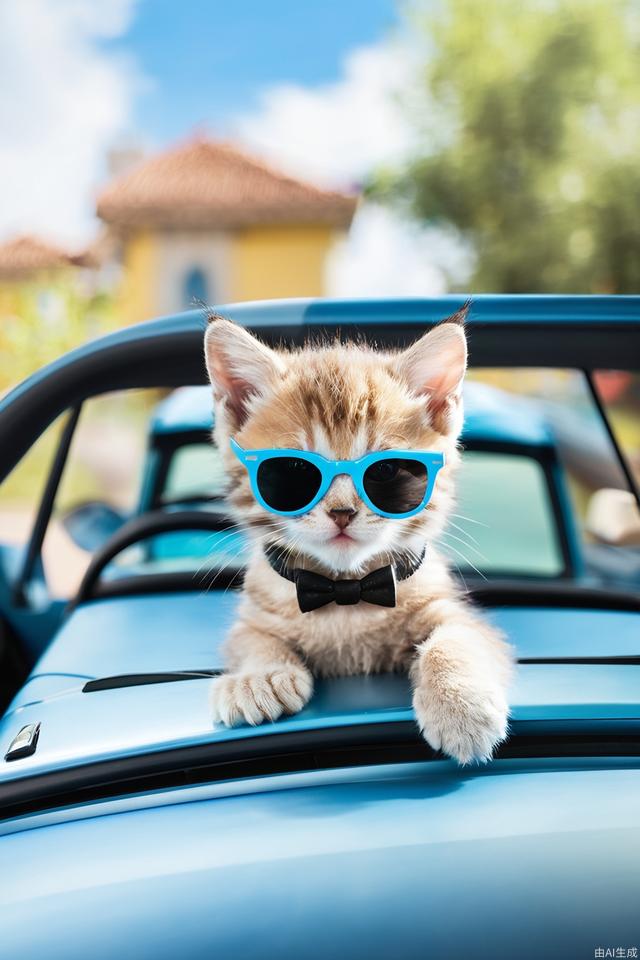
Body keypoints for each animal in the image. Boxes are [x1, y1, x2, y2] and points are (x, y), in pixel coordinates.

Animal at [205, 310, 516, 764]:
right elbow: (250, 639)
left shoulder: (457, 612)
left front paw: (461, 704)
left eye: (385, 471)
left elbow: (455, 640)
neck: (345, 593)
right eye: (294, 470)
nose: (342, 512)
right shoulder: (252, 615)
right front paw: (257, 676)